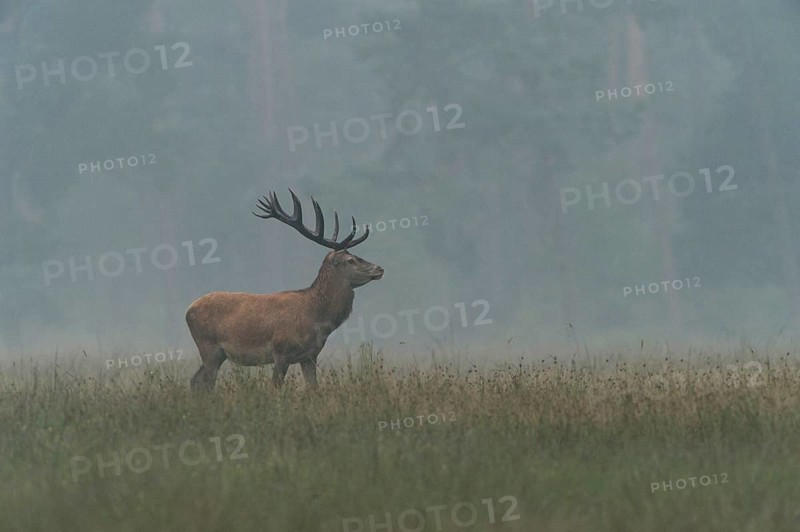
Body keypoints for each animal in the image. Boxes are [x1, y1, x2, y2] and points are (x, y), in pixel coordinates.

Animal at [186, 189, 383, 393]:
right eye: (350, 260)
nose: (379, 269)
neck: (316, 318)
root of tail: (188, 309)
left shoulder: (310, 356)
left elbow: (314, 387)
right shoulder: (281, 352)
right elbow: (276, 386)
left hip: (218, 354)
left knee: (195, 380)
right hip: (208, 346)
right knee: (207, 382)